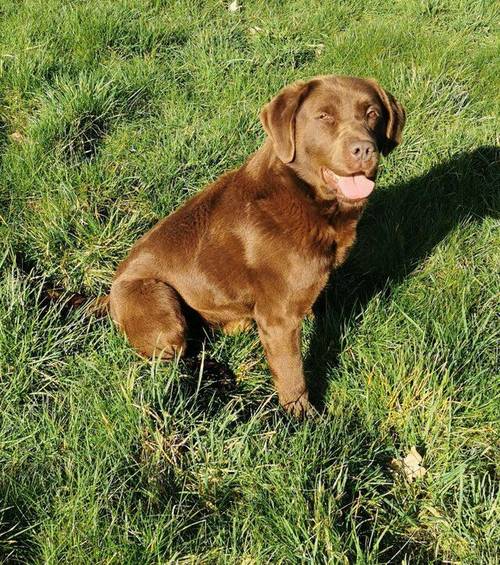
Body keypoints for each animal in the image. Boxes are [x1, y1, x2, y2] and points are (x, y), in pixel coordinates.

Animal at [109, 76, 406, 414]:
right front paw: (302, 418)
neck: (303, 194)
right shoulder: (277, 319)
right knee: (174, 360)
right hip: (157, 301)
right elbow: (292, 373)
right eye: (324, 116)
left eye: (372, 113)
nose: (364, 149)